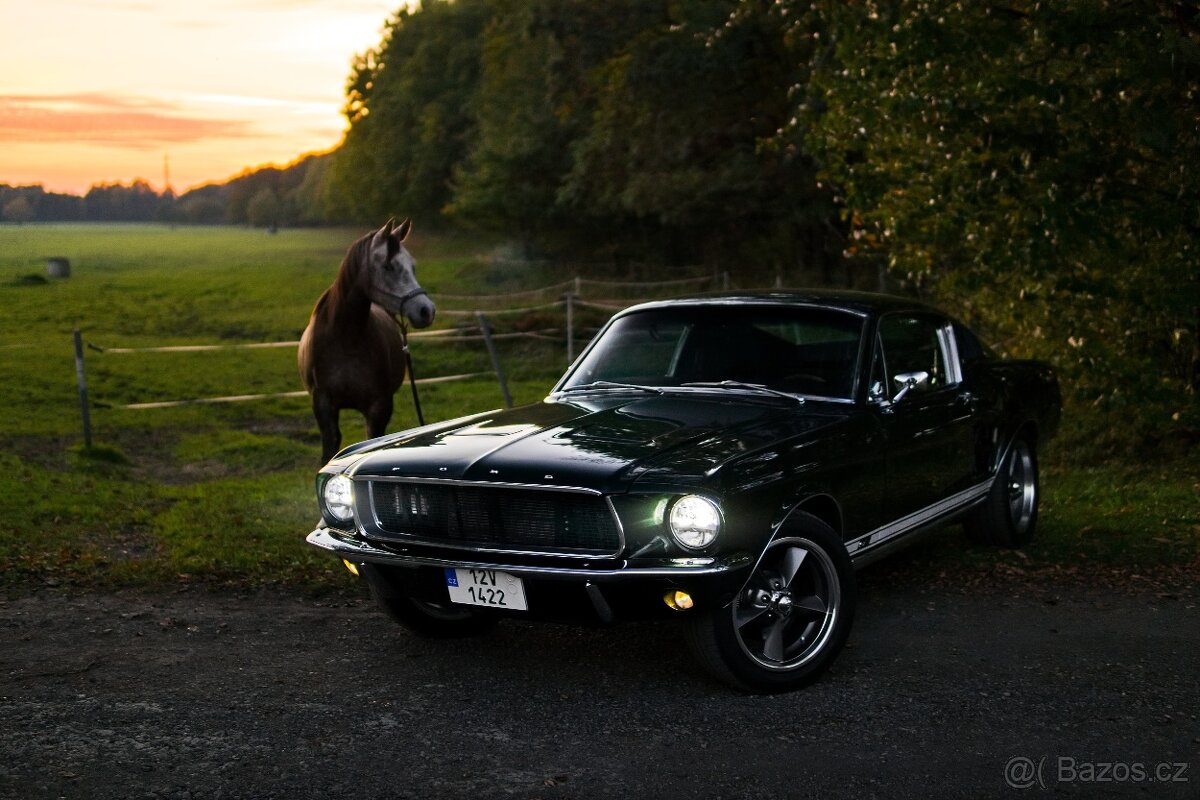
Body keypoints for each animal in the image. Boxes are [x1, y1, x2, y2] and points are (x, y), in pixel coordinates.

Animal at [300, 219, 436, 462]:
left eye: (412, 266)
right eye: (388, 266)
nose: (426, 310)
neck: (345, 339)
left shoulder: (379, 406)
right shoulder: (323, 405)